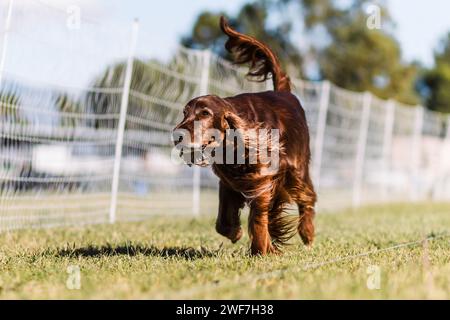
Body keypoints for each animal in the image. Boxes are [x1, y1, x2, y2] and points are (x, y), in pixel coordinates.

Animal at [172, 16, 316, 255]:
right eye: (185, 113)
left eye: (205, 113)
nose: (177, 135)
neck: (231, 147)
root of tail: (284, 92)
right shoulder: (228, 182)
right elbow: (223, 221)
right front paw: (235, 233)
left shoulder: (263, 181)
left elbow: (258, 218)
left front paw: (261, 249)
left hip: (298, 168)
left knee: (307, 197)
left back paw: (307, 233)